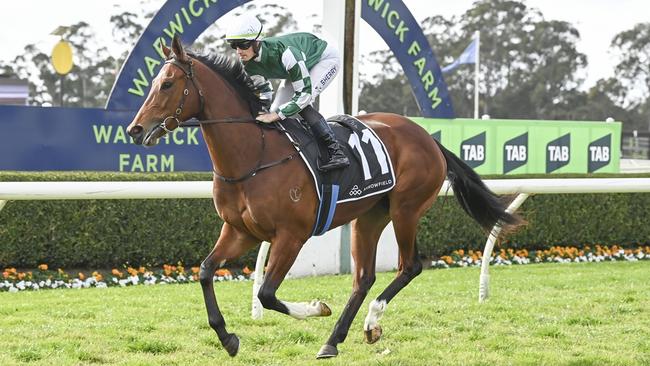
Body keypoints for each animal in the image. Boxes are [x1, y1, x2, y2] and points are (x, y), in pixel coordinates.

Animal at [128, 35, 520, 358]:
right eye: (154, 83)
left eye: (167, 84)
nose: (135, 129)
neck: (254, 155)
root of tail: (428, 138)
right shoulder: (240, 231)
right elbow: (207, 271)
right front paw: (228, 337)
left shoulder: (291, 235)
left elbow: (266, 294)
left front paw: (317, 308)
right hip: (370, 215)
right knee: (363, 278)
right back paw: (334, 340)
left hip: (405, 210)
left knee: (410, 266)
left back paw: (371, 322)